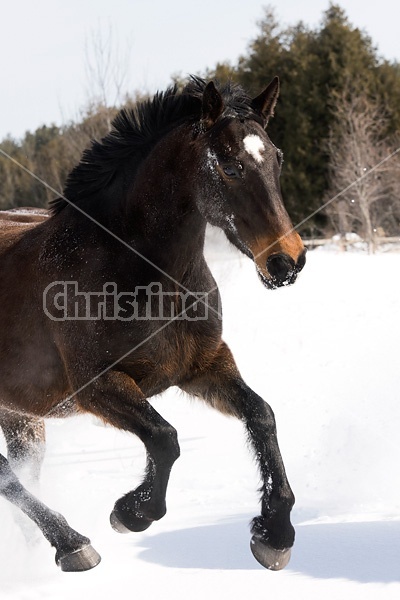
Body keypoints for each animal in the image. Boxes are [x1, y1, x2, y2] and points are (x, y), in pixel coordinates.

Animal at [0, 78, 304, 572]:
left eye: (276, 158)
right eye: (230, 166)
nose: (287, 261)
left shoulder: (204, 366)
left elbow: (263, 415)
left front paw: (274, 535)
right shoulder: (97, 386)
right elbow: (165, 439)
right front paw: (131, 513)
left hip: (20, 416)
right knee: (7, 475)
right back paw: (71, 543)